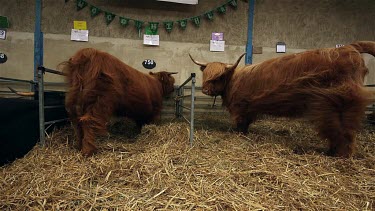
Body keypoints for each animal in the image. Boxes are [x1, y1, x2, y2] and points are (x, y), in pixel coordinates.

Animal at [191, 40, 375, 157]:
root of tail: (348, 48)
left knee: (342, 130)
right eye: (205, 75)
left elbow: (240, 124)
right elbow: (246, 123)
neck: (233, 80)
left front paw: (239, 134)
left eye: (219, 77)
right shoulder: (249, 109)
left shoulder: (240, 107)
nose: (205, 90)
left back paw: (338, 154)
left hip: (336, 104)